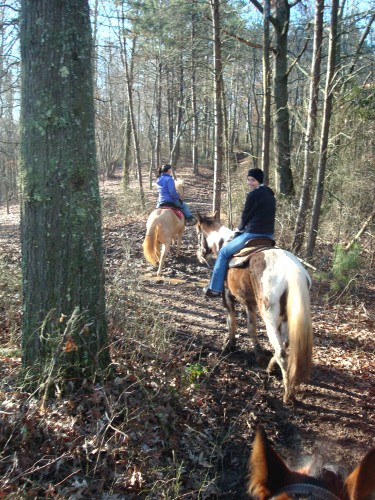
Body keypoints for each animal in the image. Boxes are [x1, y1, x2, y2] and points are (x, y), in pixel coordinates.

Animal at [195, 213, 312, 404]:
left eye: (198, 233)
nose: (200, 255)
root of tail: (293, 271)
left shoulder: (228, 297)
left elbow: (232, 322)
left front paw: (229, 346)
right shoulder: (249, 303)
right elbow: (251, 328)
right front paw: (258, 354)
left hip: (270, 318)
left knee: (281, 351)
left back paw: (287, 394)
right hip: (285, 317)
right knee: (284, 344)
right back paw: (271, 367)